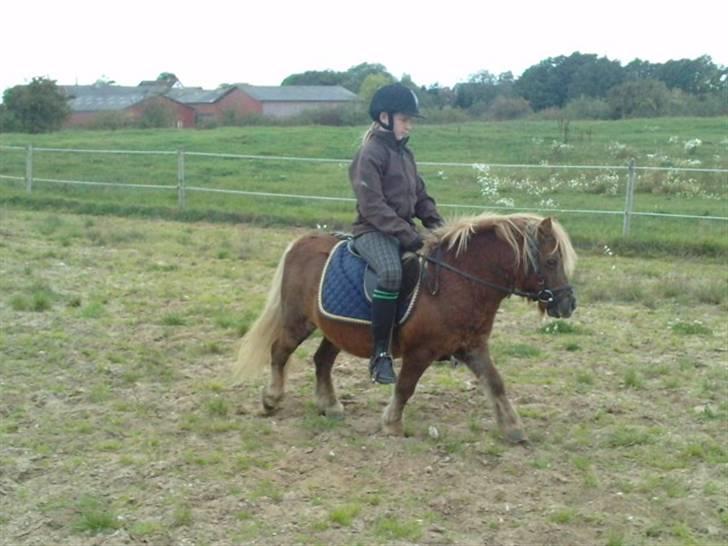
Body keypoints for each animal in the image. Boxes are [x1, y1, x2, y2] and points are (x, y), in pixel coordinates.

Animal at [233, 212, 576, 442]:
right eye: (551, 262)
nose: (568, 304)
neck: (458, 282)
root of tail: (300, 242)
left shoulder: (473, 347)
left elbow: (495, 382)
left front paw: (513, 428)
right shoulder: (420, 351)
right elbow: (405, 386)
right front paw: (392, 423)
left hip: (337, 330)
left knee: (322, 361)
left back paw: (329, 405)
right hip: (298, 322)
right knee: (279, 351)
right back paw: (271, 399)